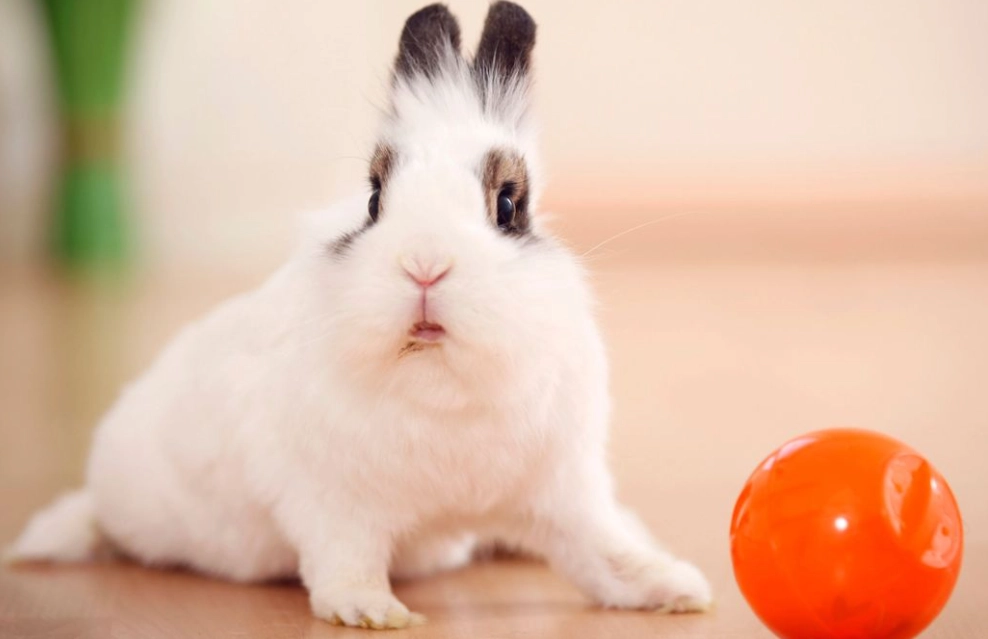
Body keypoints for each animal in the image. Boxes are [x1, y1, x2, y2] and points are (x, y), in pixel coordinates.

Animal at [7, 1, 712, 629]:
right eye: (374, 200)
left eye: (510, 206)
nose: (424, 264)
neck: (440, 384)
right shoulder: (332, 504)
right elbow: (345, 562)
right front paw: (373, 612)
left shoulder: (564, 496)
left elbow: (602, 555)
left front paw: (678, 588)